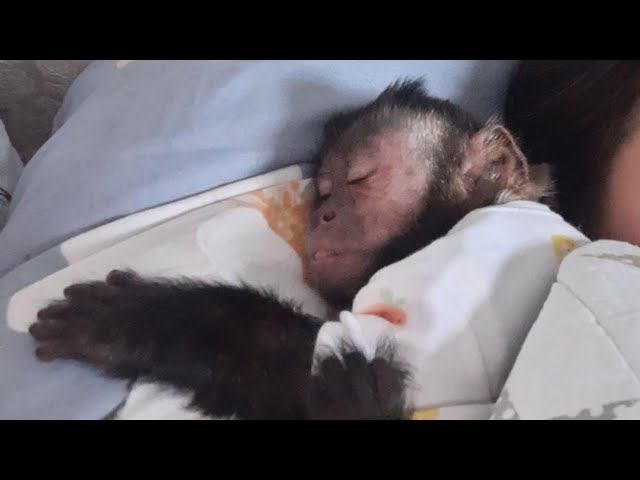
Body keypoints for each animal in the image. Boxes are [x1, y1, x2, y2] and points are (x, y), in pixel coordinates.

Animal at [28, 79, 549, 420]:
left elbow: (321, 368)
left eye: (359, 177)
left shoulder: (476, 247)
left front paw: (139, 320)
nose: (324, 216)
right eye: (324, 190)